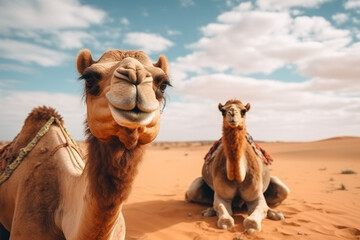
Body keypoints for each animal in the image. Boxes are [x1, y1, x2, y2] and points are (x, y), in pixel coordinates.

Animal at [186, 99, 290, 232]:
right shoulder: (222, 196)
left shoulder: (256, 196)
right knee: (194, 190)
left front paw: (253, 226)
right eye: (223, 110)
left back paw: (276, 214)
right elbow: (225, 218)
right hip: (193, 189)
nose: (232, 113)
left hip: (280, 187)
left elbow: (257, 214)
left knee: (281, 191)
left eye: (243, 111)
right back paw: (209, 211)